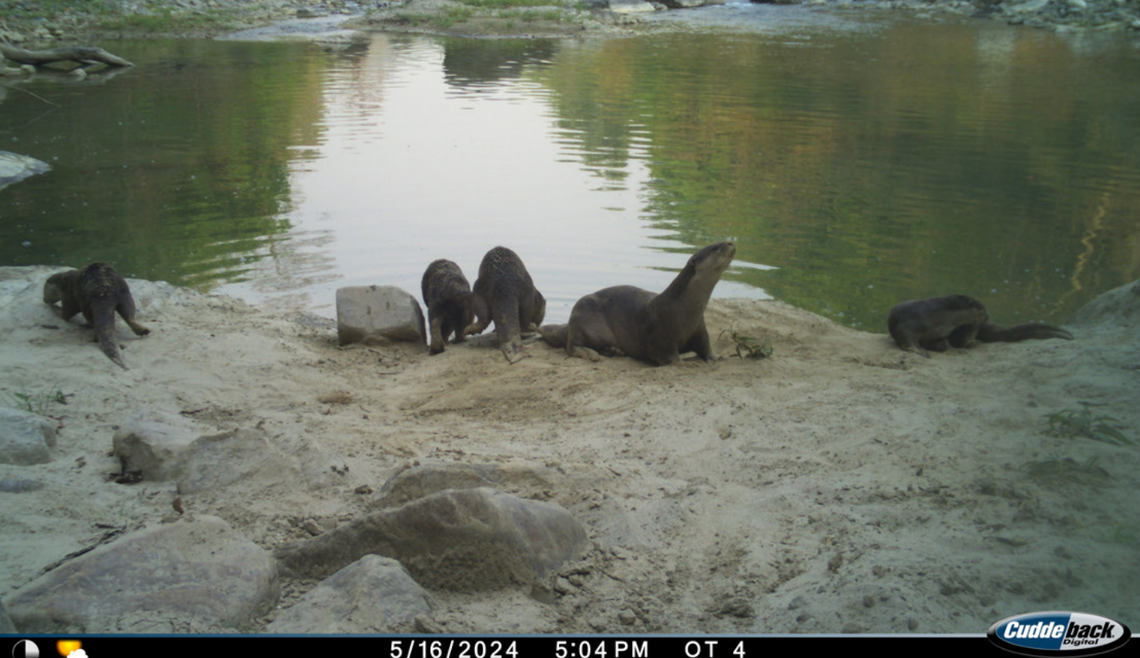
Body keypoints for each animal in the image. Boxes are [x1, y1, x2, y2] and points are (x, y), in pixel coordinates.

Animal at [540, 241, 737, 366]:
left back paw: (614, 350)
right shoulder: (660, 334)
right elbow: (667, 356)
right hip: (581, 315)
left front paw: (717, 358)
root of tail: (569, 324)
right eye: (715, 247)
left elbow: (705, 346)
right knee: (571, 346)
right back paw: (592, 353)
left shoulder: (699, 328)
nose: (730, 242)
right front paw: (685, 364)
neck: (681, 309)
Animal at [888, 294, 1073, 357]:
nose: (987, 316)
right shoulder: (910, 323)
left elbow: (943, 342)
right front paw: (918, 350)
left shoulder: (941, 332)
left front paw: (955, 350)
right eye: (982, 310)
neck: (935, 317)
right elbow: (906, 337)